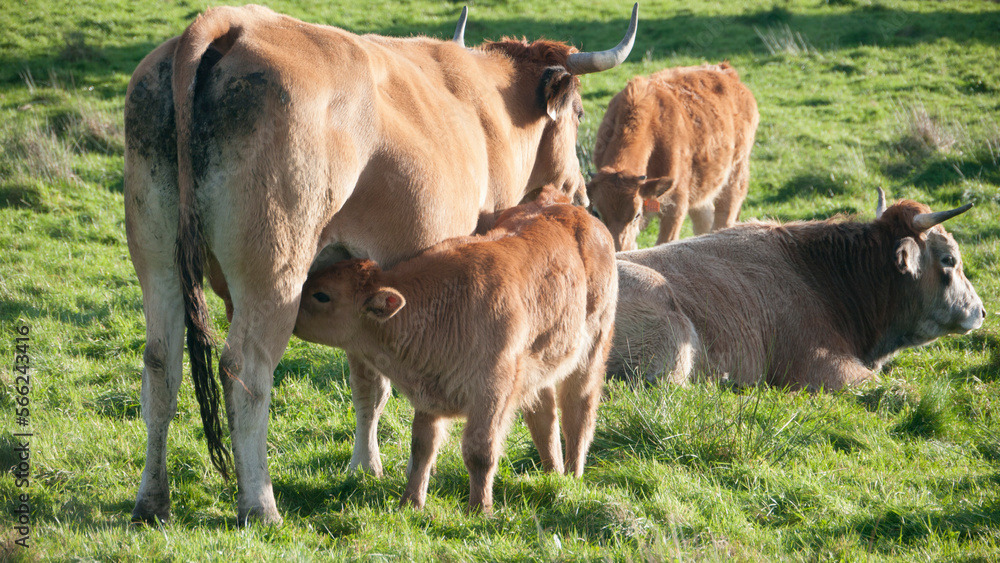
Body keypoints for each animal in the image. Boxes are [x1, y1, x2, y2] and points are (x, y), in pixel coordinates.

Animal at [292, 194, 618, 514]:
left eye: (322, 295)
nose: (291, 315)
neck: (445, 304)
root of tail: (567, 206)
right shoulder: (428, 395)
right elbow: (422, 447)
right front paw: (410, 503)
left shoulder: (490, 395)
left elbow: (479, 452)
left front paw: (480, 508)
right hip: (539, 365)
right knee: (544, 415)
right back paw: (553, 473)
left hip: (591, 352)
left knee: (578, 411)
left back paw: (572, 476)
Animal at [586, 63, 759, 251]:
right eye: (596, 212)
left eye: (636, 215)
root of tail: (726, 71)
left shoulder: (675, 206)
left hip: (736, 174)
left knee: (725, 217)